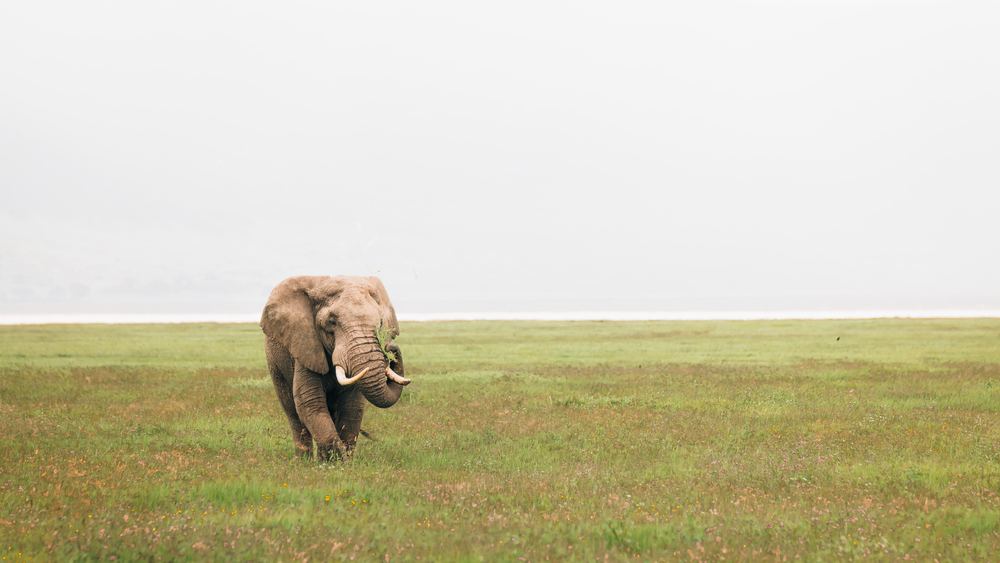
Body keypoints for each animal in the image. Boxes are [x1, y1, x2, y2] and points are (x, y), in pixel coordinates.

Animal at [260, 276, 410, 461]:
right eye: (331, 322)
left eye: (381, 323)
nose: (389, 347)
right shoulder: (306, 345)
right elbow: (310, 403)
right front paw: (335, 462)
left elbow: (352, 406)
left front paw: (342, 462)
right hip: (275, 362)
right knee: (292, 411)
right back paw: (303, 462)